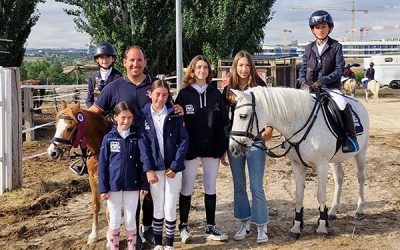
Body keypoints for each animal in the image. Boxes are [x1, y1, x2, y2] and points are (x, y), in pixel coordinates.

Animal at [46, 100, 109, 244]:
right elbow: (95, 205)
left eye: (70, 128)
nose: (52, 152)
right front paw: (93, 235)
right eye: (56, 125)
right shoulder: (93, 177)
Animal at [228, 87, 368, 239]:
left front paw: (322, 226)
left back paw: (360, 209)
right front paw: (296, 227)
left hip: (361, 153)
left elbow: (321, 194)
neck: (300, 123)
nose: (233, 148)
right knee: (339, 178)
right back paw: (333, 211)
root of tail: (359, 103)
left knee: (361, 177)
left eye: (243, 116)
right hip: (334, 160)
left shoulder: (321, 165)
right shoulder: (297, 165)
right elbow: (299, 195)